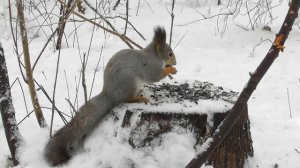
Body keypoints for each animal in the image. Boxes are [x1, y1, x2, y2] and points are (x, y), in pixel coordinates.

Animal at [43, 26, 177, 165]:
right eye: (170, 53)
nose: (175, 63)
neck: (154, 55)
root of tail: (110, 94)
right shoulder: (151, 66)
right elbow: (154, 77)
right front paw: (170, 70)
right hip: (129, 81)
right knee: (126, 99)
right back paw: (139, 98)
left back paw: (140, 93)